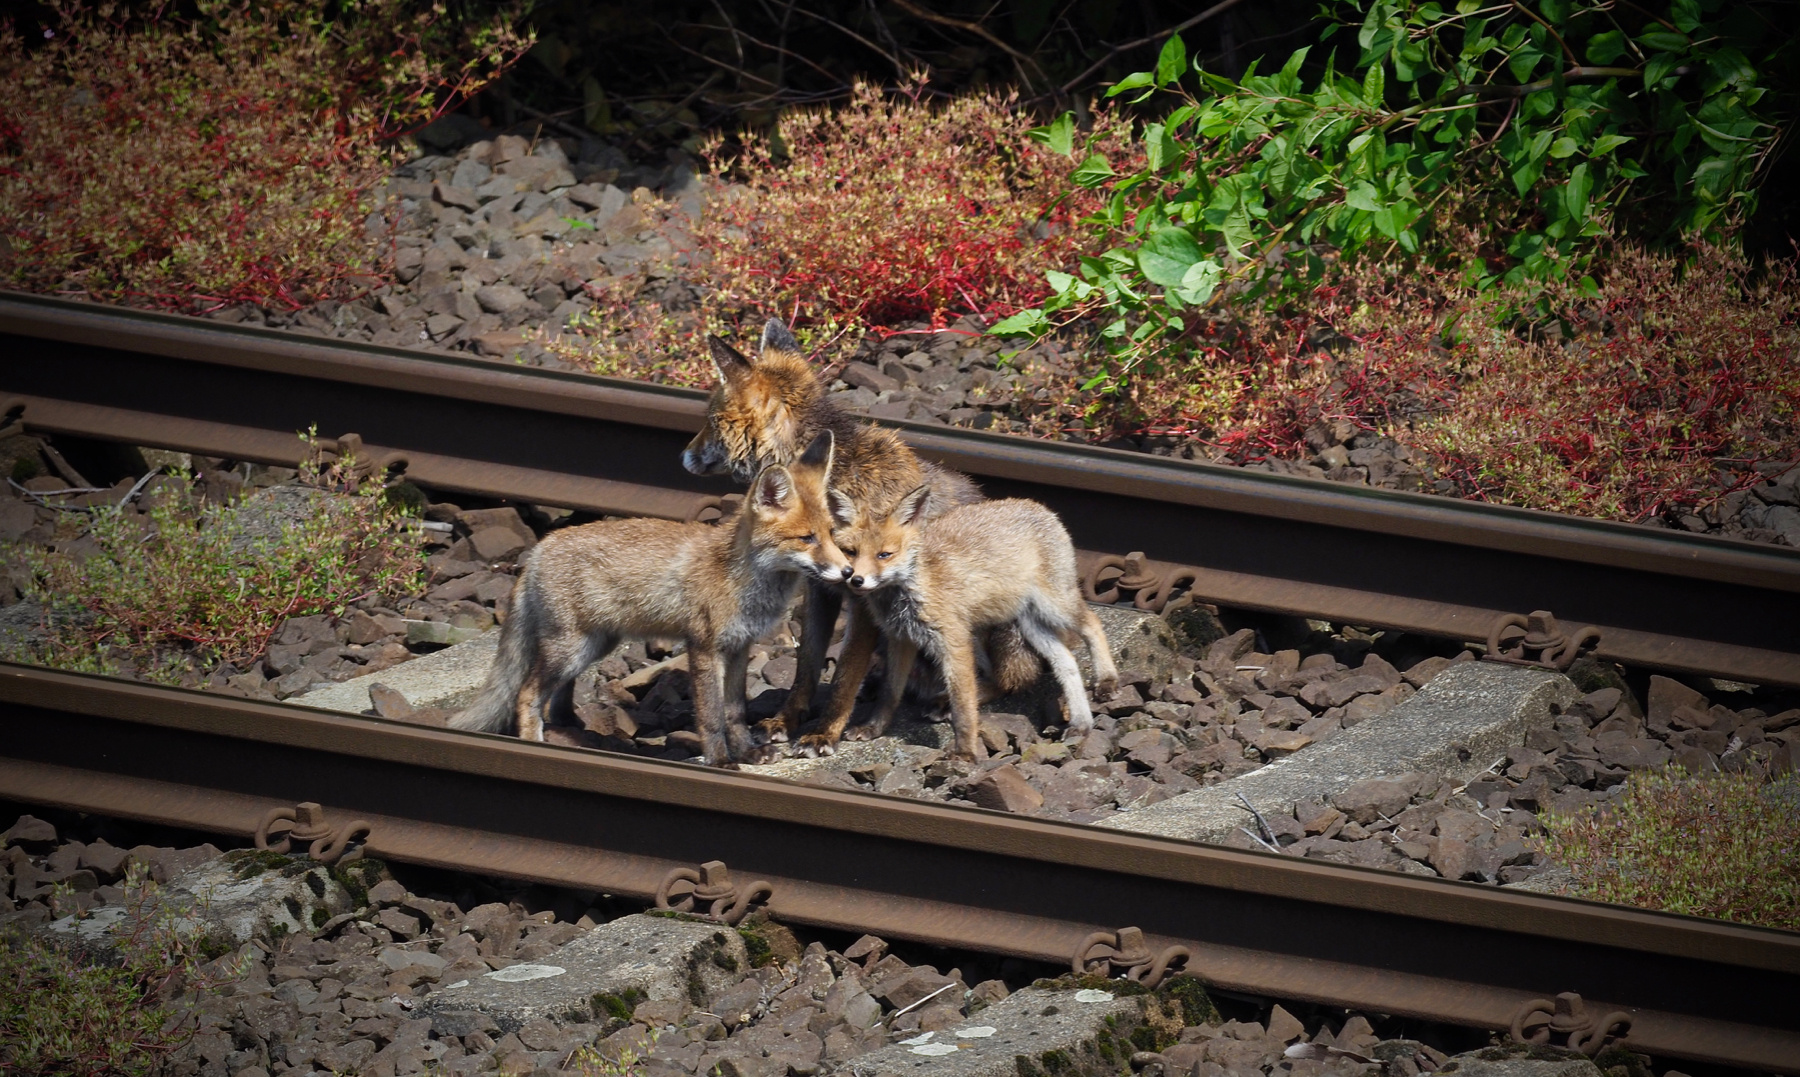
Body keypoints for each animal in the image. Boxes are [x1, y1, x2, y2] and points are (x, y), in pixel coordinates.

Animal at [446, 430, 846, 767]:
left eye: (831, 533)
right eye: (807, 538)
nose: (846, 573)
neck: (740, 578)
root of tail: (540, 549)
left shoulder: (738, 647)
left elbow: (735, 712)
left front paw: (748, 752)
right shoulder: (704, 648)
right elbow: (712, 715)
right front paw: (720, 761)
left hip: (593, 646)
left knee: (555, 696)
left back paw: (573, 727)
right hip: (570, 649)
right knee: (527, 695)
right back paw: (536, 742)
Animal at [676, 322, 1044, 752]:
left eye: (711, 420)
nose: (683, 456)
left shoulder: (865, 598)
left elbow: (844, 676)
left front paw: (824, 731)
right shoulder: (821, 592)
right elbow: (806, 667)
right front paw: (785, 720)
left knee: (1010, 678)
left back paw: (942, 700)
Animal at [820, 489, 1123, 760]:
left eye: (884, 555)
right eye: (850, 552)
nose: (855, 579)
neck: (906, 594)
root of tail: (1035, 504)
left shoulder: (953, 640)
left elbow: (963, 704)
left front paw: (965, 753)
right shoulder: (901, 638)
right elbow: (889, 692)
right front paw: (874, 727)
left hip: (1052, 608)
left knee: (1092, 624)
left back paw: (1107, 680)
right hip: (1027, 626)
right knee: (1065, 662)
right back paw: (1081, 724)